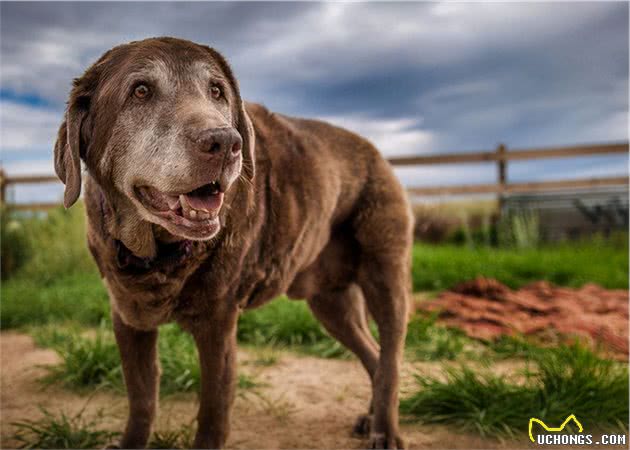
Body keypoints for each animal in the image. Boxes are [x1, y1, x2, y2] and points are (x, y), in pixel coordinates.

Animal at [54, 37, 414, 448]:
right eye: (140, 91)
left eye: (217, 91)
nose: (226, 141)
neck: (158, 255)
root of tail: (377, 152)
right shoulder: (128, 318)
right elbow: (141, 401)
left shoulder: (218, 323)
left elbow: (213, 414)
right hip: (331, 303)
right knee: (374, 354)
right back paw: (371, 418)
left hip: (386, 276)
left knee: (391, 357)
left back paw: (385, 429)